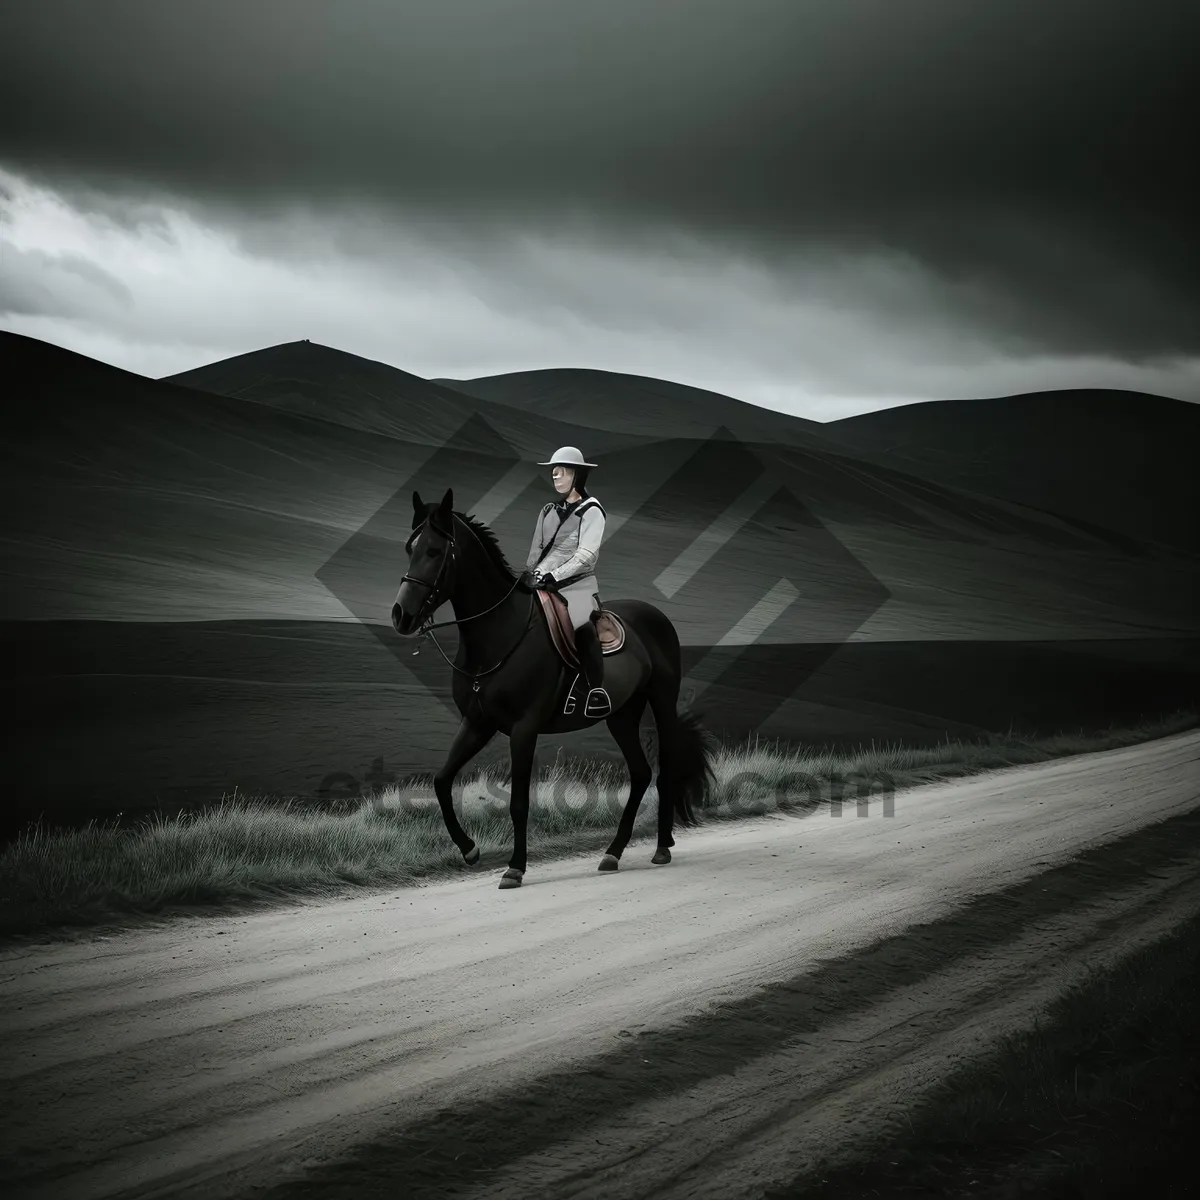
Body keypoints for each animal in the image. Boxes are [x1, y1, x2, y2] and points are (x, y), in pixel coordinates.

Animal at [391, 487, 710, 892]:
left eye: (433, 551)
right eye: (409, 548)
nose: (400, 615)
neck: (498, 634)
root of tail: (655, 616)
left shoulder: (524, 729)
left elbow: (519, 803)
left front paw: (515, 868)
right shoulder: (477, 724)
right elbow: (441, 781)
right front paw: (470, 850)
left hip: (662, 702)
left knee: (665, 767)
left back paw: (662, 847)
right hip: (621, 715)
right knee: (640, 773)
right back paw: (613, 852)